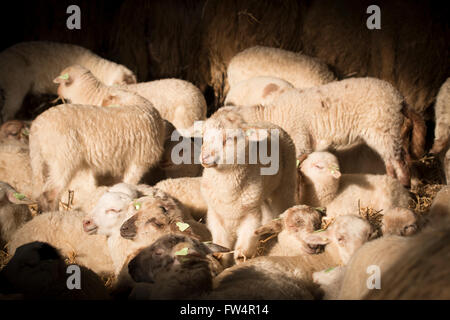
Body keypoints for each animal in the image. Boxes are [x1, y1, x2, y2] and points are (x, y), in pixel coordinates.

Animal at [199, 110, 298, 264]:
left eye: (229, 139)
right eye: (203, 137)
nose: (204, 157)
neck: (227, 193)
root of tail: (267, 122)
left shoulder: (251, 217)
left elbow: (242, 250)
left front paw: (241, 260)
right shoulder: (216, 215)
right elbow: (221, 244)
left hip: (286, 182)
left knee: (283, 203)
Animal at [230, 77, 428, 186]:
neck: (276, 114)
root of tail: (400, 100)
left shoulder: (300, 138)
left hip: (384, 128)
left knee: (400, 161)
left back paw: (404, 185)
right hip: (387, 132)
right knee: (393, 160)